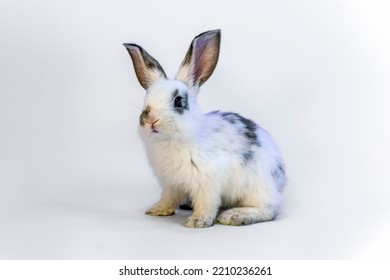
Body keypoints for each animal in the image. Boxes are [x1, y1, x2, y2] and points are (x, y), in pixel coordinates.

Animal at [125, 29, 286, 229]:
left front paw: (197, 221)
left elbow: (206, 203)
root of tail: (281, 178)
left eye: (178, 101)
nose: (151, 120)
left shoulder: (208, 181)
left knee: (270, 208)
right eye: (146, 102)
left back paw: (235, 216)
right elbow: (168, 199)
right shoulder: (170, 184)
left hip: (257, 187)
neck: (171, 142)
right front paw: (156, 210)